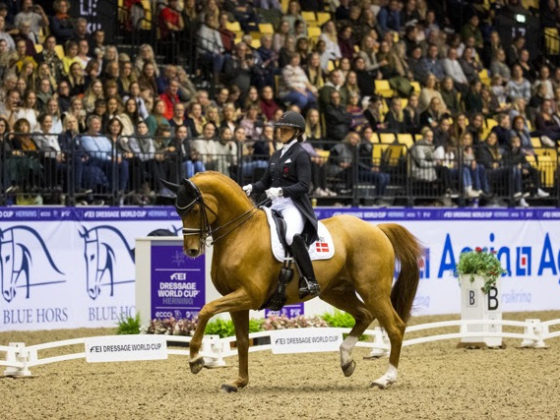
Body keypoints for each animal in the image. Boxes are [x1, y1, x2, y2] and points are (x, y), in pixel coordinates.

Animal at [161, 172, 420, 392]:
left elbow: (206, 310)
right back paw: (346, 361)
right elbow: (242, 341)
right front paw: (239, 382)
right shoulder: (238, 300)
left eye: (195, 208)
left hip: (373, 290)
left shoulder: (249, 295)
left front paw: (196, 359)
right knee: (365, 315)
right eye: (178, 211)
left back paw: (385, 379)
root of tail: (377, 228)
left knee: (395, 327)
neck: (241, 232)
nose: (192, 251)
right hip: (336, 292)